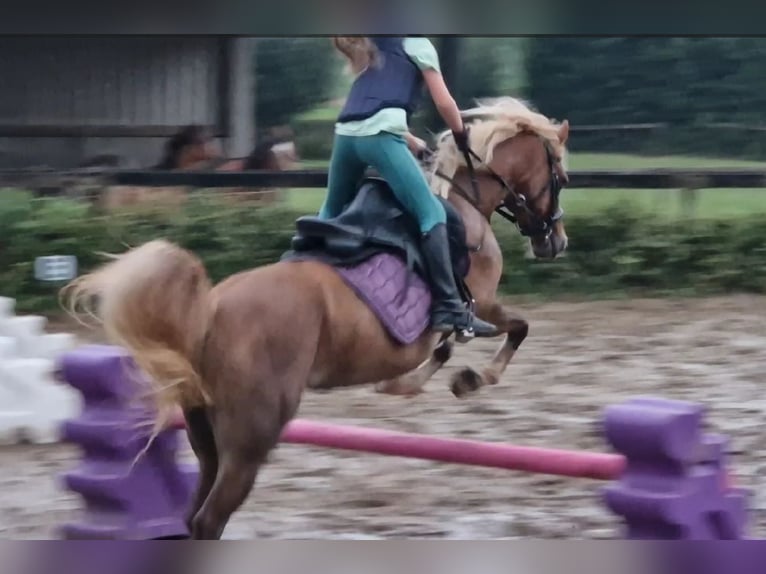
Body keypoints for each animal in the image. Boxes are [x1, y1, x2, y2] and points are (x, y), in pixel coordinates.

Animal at [64, 97, 568, 544]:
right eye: (561, 178)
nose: (556, 242)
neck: (464, 202)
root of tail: (207, 312)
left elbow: (440, 350)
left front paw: (411, 384)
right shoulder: (479, 305)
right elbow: (515, 327)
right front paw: (472, 379)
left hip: (205, 435)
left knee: (193, 513)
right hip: (253, 436)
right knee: (209, 520)